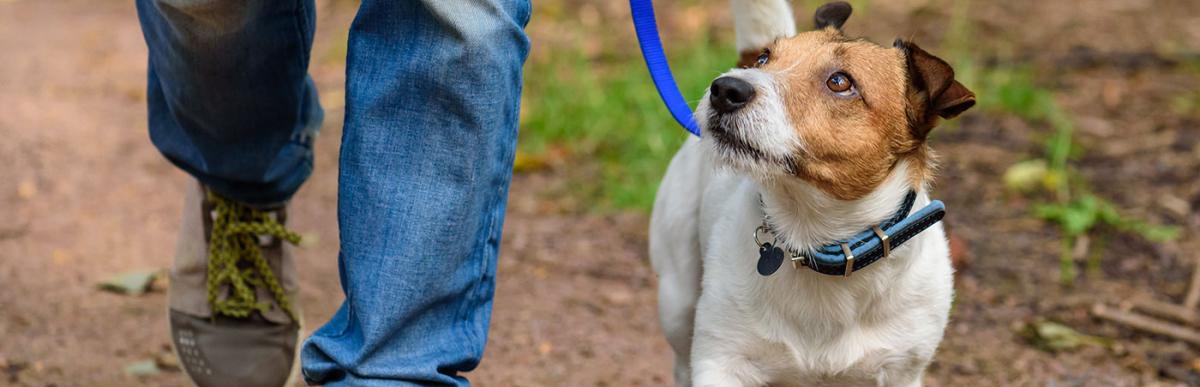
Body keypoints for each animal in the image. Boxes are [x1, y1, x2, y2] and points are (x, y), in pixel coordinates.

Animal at [648, 1, 974, 384]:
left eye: (840, 81)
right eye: (764, 59)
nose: (725, 88)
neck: (817, 237)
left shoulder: (901, 371)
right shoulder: (722, 361)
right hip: (677, 297)